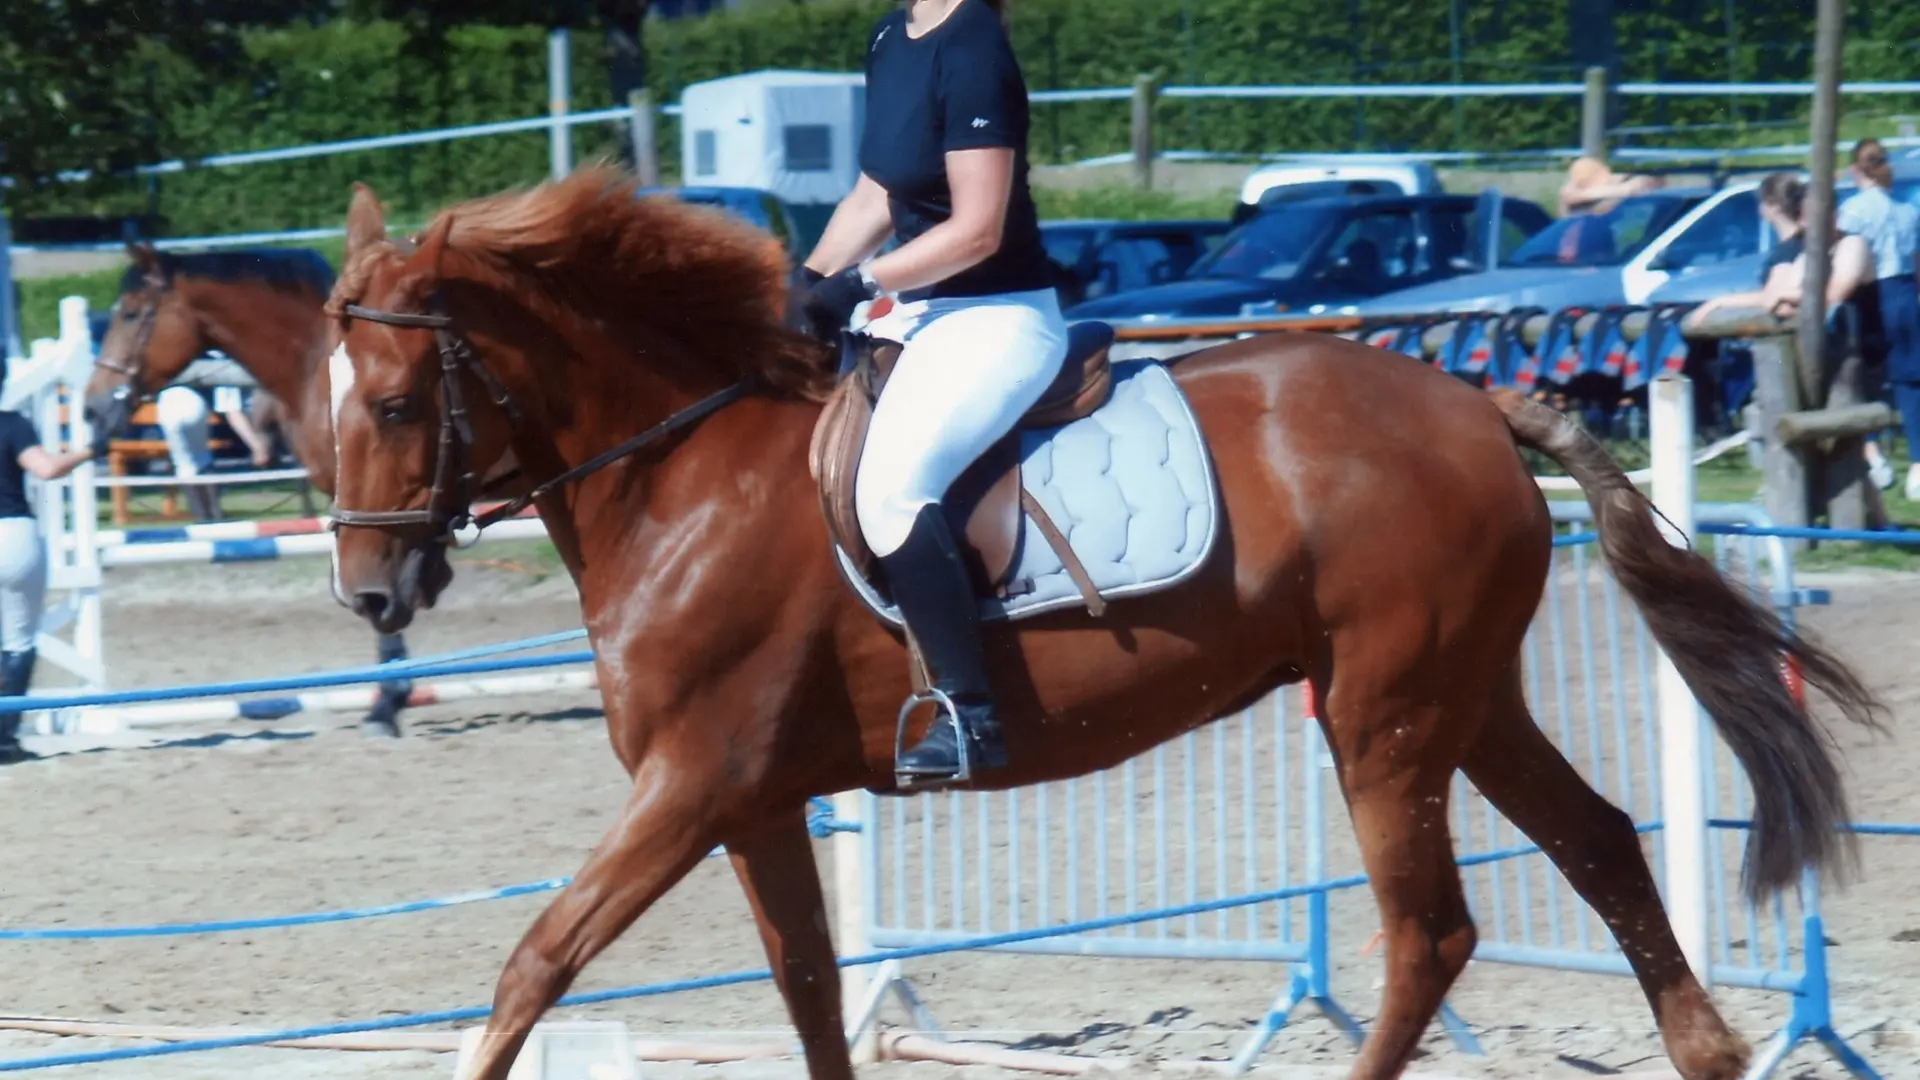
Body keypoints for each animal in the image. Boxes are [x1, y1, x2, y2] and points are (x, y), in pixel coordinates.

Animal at [326, 170, 1873, 1076]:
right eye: (327, 402)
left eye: (396, 403)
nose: (369, 598)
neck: (682, 475)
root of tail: (1475, 401)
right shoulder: (753, 800)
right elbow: (811, 988)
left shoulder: (692, 781)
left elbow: (536, 962)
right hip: (1464, 698)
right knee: (1599, 848)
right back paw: (1710, 1052)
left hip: (1386, 715)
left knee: (1428, 933)